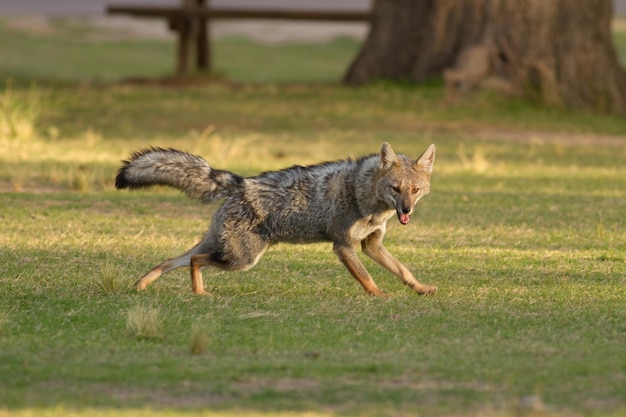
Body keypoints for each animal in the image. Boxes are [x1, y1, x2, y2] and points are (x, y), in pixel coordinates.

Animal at [114, 143, 434, 296]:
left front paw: (420, 288)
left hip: (224, 250)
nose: (406, 211)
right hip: (242, 260)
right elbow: (366, 277)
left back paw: (143, 285)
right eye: (395, 189)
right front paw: (380, 295)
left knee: (172, 261)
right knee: (194, 261)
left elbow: (403, 270)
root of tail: (240, 183)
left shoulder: (371, 245)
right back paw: (200, 292)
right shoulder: (343, 246)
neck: (362, 193)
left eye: (414, 190)